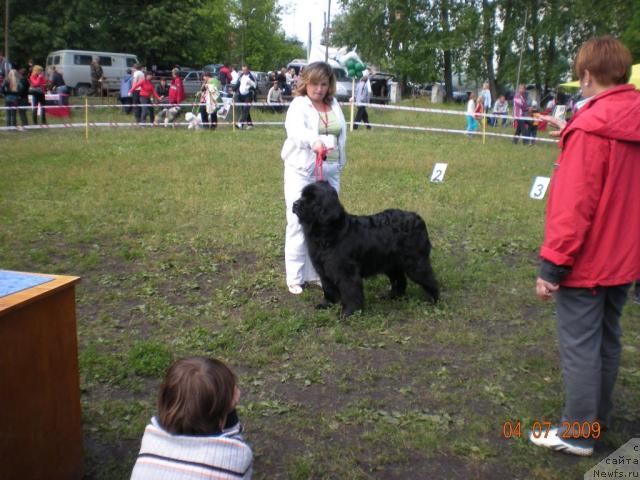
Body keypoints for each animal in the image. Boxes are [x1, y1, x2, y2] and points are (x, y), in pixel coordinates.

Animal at [292, 180, 438, 316]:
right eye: (302, 195)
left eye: (312, 199)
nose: (294, 204)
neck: (328, 232)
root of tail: (418, 218)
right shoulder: (323, 268)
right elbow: (328, 288)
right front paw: (327, 304)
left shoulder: (346, 272)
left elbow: (350, 292)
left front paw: (349, 312)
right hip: (391, 263)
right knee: (399, 280)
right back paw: (392, 296)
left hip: (414, 263)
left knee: (429, 279)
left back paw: (433, 300)